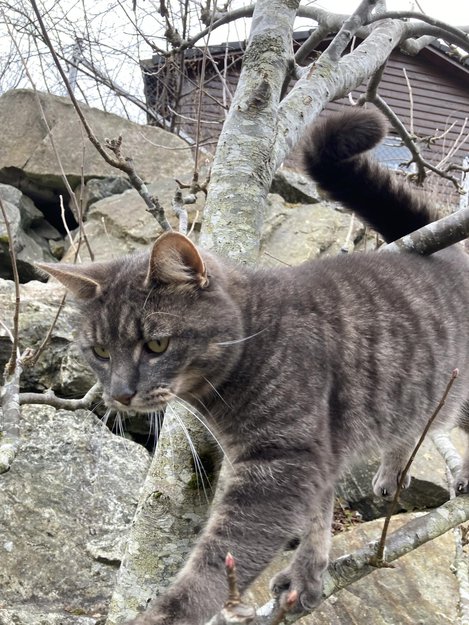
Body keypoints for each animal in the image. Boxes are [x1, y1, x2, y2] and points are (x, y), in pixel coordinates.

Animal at [38, 109, 469, 625]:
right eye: (100, 352)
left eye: (156, 344)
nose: (120, 393)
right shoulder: (316, 454)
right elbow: (318, 517)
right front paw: (307, 578)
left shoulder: (282, 462)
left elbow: (217, 561)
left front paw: (170, 612)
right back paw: (393, 469)